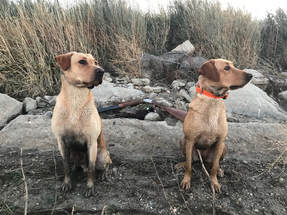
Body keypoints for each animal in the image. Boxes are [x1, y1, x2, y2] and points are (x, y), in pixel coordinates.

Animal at [51, 51, 111, 197]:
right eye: (82, 62)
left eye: (95, 62)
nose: (102, 71)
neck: (76, 98)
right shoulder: (61, 141)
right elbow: (66, 166)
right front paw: (67, 183)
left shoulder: (91, 142)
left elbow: (91, 169)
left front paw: (90, 187)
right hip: (72, 153)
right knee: (73, 165)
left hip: (102, 155)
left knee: (104, 165)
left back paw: (103, 174)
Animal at [178, 58, 254, 191]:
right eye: (226, 68)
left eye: (233, 66)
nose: (250, 75)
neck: (213, 100)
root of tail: (202, 157)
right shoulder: (190, 140)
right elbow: (188, 165)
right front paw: (186, 180)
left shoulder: (220, 141)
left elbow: (213, 167)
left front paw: (214, 182)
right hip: (183, 140)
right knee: (189, 160)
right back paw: (181, 164)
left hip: (223, 147)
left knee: (214, 163)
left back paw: (219, 170)